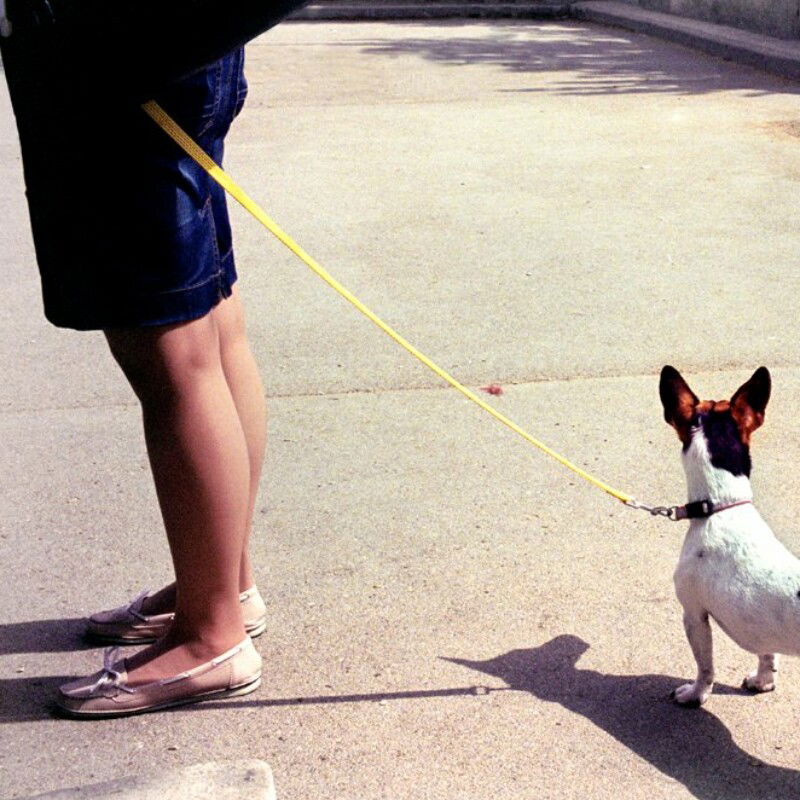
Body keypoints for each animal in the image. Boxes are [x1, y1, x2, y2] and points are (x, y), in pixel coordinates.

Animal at [660, 364, 800, 708]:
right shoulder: (763, 632)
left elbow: (705, 667)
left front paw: (695, 694)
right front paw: (763, 681)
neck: (721, 505)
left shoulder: (694, 615)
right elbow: (767, 655)